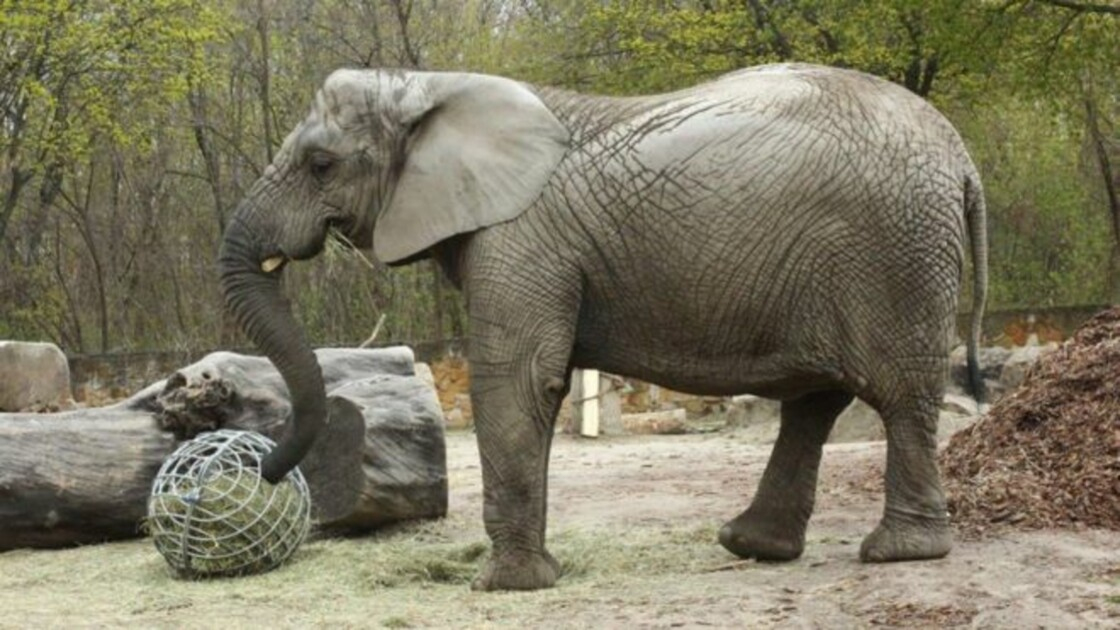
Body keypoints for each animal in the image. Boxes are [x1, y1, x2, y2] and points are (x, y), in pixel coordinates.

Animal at [218, 62, 990, 587]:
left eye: (321, 164)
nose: (263, 471)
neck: (432, 85)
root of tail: (964, 160)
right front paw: (535, 575)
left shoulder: (520, 237)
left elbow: (517, 381)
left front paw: (506, 586)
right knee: (816, 400)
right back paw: (752, 546)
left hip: (893, 253)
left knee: (896, 395)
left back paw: (898, 553)